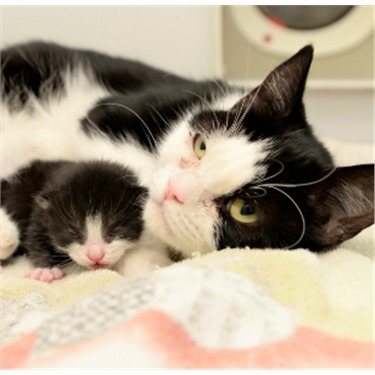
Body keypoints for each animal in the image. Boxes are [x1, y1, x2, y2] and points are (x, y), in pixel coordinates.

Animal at [0, 160, 171, 280]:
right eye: (74, 232)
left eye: (115, 229)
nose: (95, 255)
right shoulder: (41, 210)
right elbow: (33, 237)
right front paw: (45, 270)